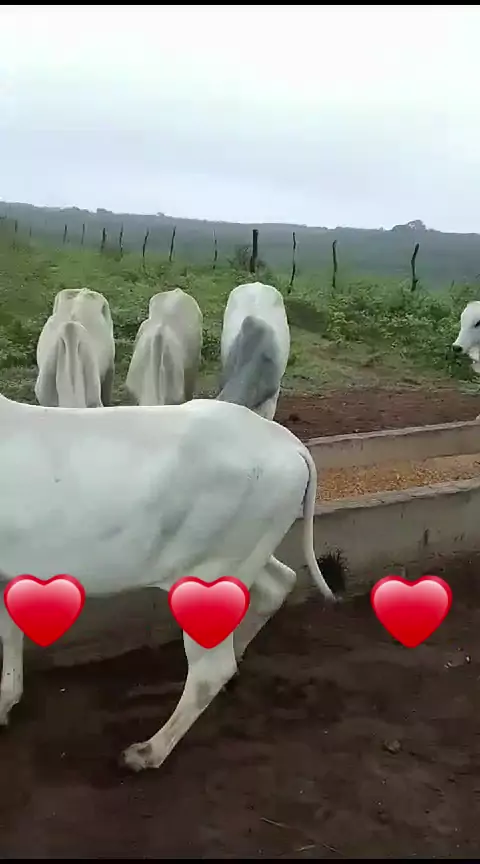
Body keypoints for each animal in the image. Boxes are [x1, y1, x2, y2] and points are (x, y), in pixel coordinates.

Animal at [0, 393, 342, 772]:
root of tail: (287, 442)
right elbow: (9, 631)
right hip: (245, 555)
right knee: (277, 585)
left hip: (207, 576)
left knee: (211, 669)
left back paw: (147, 751)